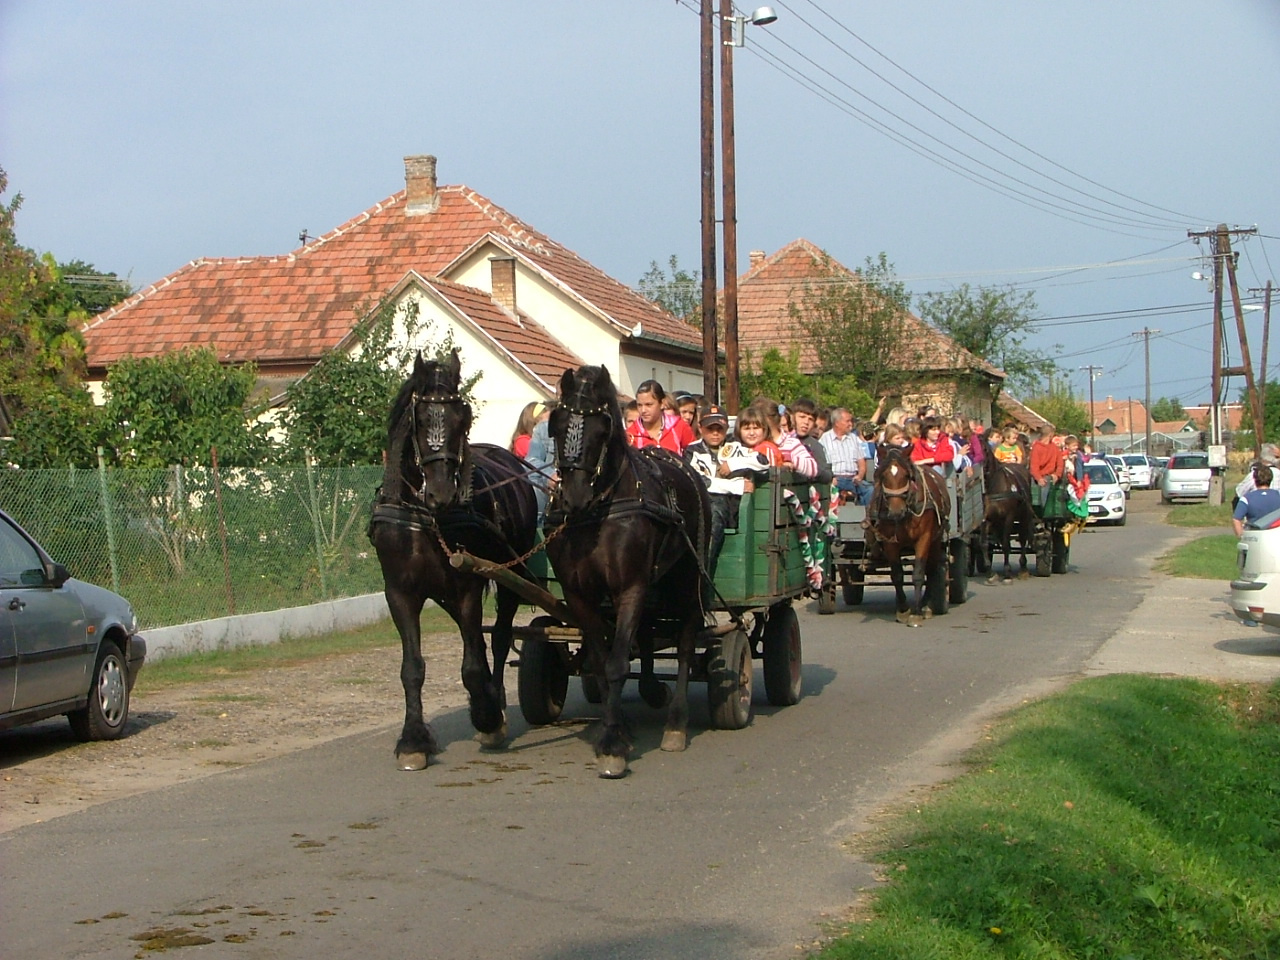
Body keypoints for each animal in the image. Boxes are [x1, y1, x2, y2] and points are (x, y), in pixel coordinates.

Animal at [368, 350, 537, 773]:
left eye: (462, 417)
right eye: (420, 418)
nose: (442, 493)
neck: (423, 517)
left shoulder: (467, 588)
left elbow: (472, 665)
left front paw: (487, 717)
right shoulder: (400, 593)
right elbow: (412, 668)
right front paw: (413, 741)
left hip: (510, 575)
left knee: (499, 638)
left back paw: (494, 702)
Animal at [545, 363, 716, 778]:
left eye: (601, 428)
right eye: (557, 424)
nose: (574, 496)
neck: (597, 513)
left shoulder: (631, 587)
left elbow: (618, 661)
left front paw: (611, 745)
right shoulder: (580, 595)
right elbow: (600, 660)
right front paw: (618, 727)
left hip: (686, 582)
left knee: (685, 644)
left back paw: (676, 723)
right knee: (651, 631)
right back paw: (653, 688)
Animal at [870, 448, 952, 627]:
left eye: (907, 476)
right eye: (882, 476)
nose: (896, 511)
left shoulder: (924, 539)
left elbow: (919, 574)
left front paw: (916, 613)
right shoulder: (890, 543)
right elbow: (897, 576)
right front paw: (903, 609)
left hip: (935, 540)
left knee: (932, 570)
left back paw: (926, 606)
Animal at [983, 458, 1034, 586]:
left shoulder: (1009, 517)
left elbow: (1006, 545)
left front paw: (1007, 574)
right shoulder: (986, 519)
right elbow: (984, 544)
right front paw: (990, 573)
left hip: (1024, 516)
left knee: (1023, 538)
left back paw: (1023, 568)